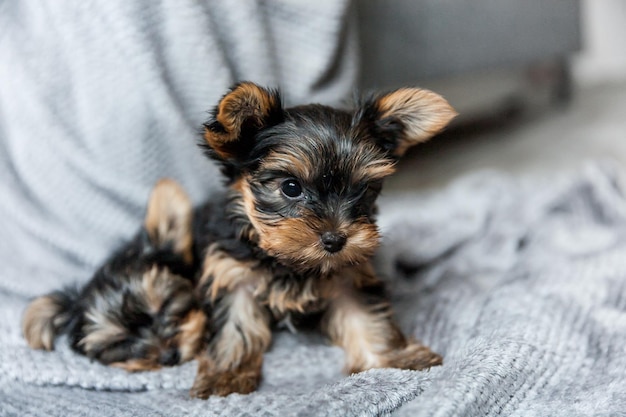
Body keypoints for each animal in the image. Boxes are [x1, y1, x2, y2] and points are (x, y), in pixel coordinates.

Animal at [188, 81, 456, 396]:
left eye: (363, 189)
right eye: (291, 187)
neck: (289, 264)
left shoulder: (349, 275)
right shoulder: (232, 273)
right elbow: (235, 326)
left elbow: (365, 318)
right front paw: (226, 377)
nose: (335, 240)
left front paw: (392, 360)